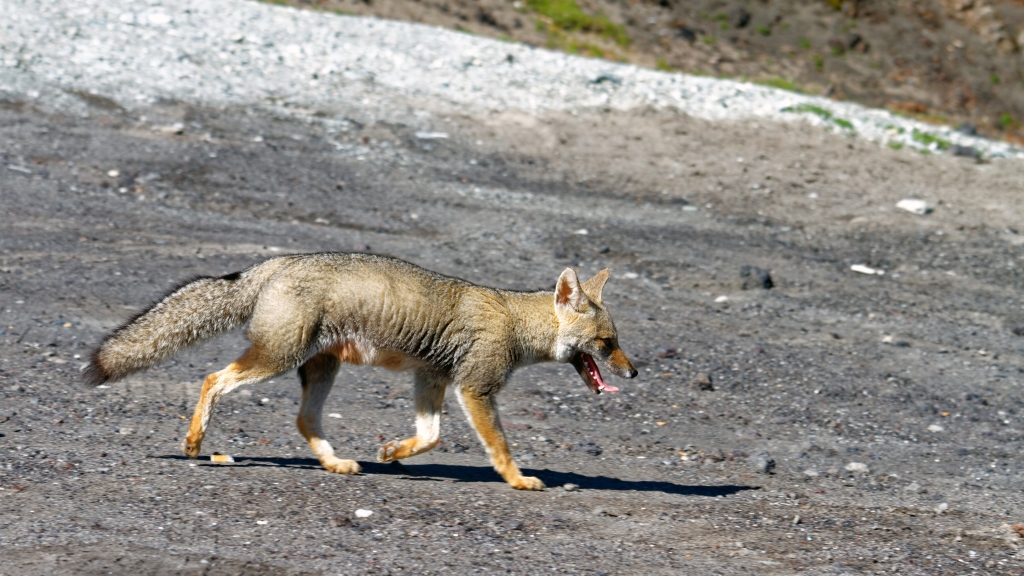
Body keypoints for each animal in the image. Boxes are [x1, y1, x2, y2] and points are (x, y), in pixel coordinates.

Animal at [85, 252, 637, 490]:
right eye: (607, 344)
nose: (633, 372)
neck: (515, 320)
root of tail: (277, 262)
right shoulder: (475, 388)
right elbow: (499, 446)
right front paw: (519, 479)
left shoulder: (432, 379)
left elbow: (430, 436)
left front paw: (393, 451)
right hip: (277, 359)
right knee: (212, 379)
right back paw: (196, 440)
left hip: (319, 369)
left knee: (304, 420)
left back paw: (335, 464)